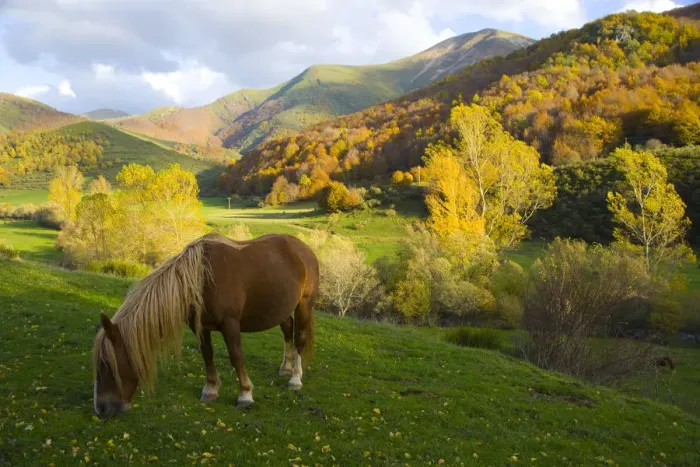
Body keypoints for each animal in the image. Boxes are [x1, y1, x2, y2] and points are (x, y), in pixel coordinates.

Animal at [92, 232, 319, 418]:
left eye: (107, 364)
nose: (101, 409)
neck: (201, 278)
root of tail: (304, 249)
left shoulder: (230, 324)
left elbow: (236, 356)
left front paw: (245, 395)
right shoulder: (200, 326)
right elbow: (207, 354)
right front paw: (210, 390)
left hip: (304, 304)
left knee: (299, 338)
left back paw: (295, 379)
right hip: (281, 308)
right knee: (287, 330)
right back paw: (285, 368)